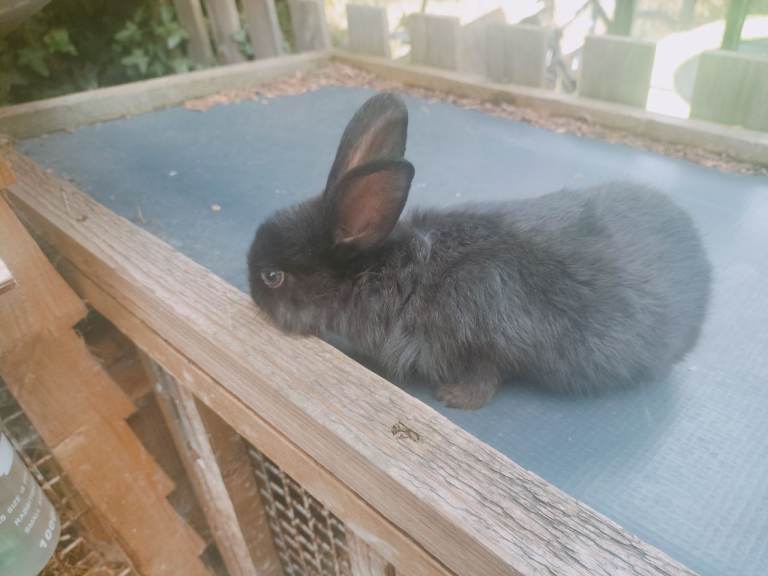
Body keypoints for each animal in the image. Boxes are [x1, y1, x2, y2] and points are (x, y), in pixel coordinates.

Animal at [248, 93, 711, 410]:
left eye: (273, 277)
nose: (251, 289)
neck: (387, 272)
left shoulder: (484, 339)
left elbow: (487, 376)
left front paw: (453, 397)